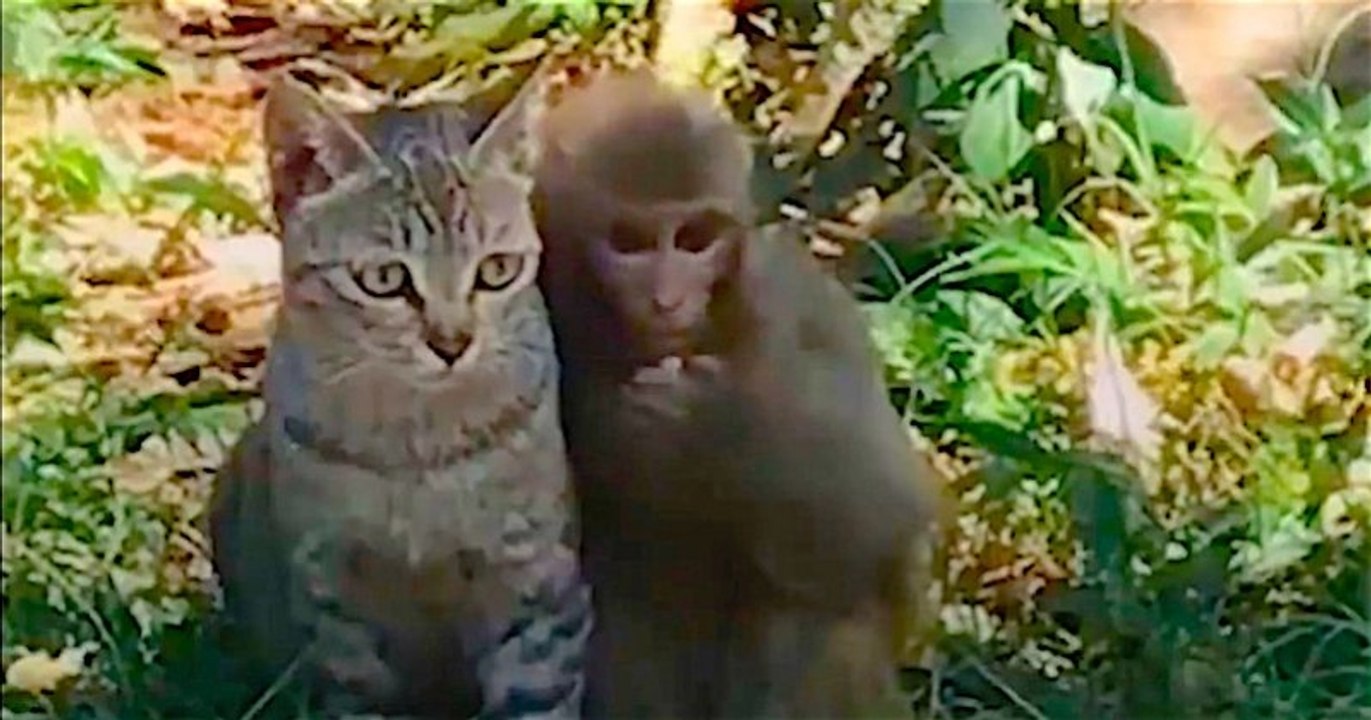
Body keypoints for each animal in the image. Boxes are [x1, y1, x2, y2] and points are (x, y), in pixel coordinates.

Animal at [531, 70, 939, 719]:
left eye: (696, 238)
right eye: (629, 242)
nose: (668, 299)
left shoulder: (798, 303)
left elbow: (887, 516)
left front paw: (713, 424)